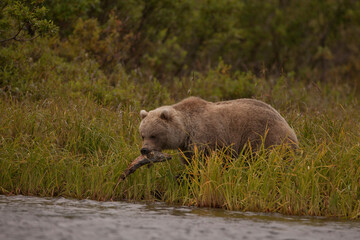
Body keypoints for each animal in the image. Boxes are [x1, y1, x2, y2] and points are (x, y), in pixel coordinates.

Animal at [138, 96, 298, 161]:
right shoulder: (187, 147)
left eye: (154, 135)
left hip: (267, 138)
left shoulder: (208, 137)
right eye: (142, 135)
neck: (186, 131)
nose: (144, 149)